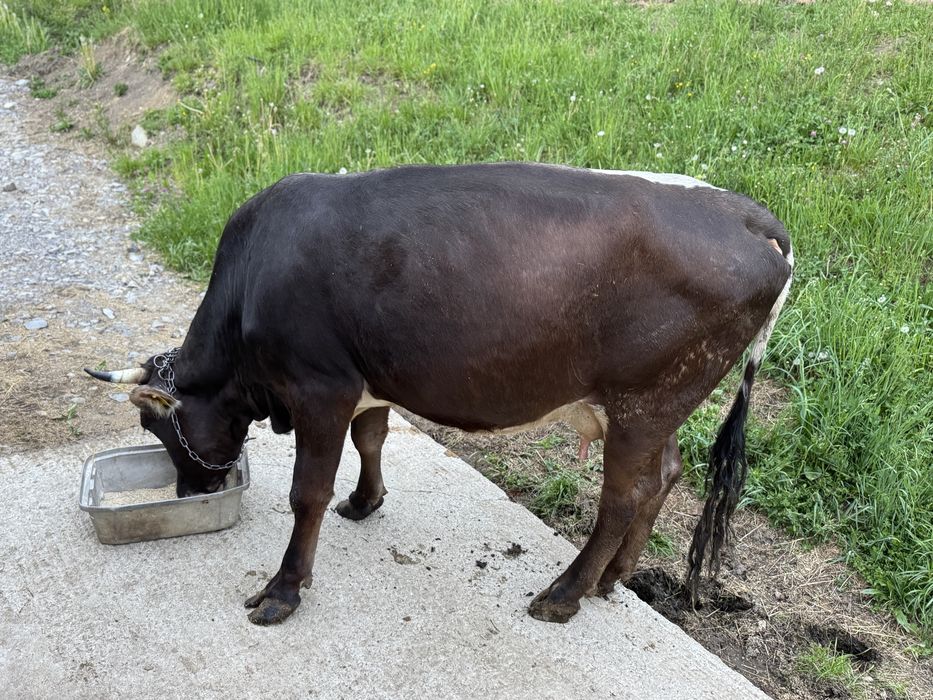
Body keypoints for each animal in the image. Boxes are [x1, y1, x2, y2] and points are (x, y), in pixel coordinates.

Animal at [87, 162, 793, 626]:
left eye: (156, 428)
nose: (191, 493)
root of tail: (750, 217)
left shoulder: (320, 387)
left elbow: (306, 493)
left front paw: (284, 590)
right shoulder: (366, 381)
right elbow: (372, 437)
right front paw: (364, 502)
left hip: (643, 402)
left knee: (623, 496)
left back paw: (564, 594)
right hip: (656, 405)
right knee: (665, 473)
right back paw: (612, 578)